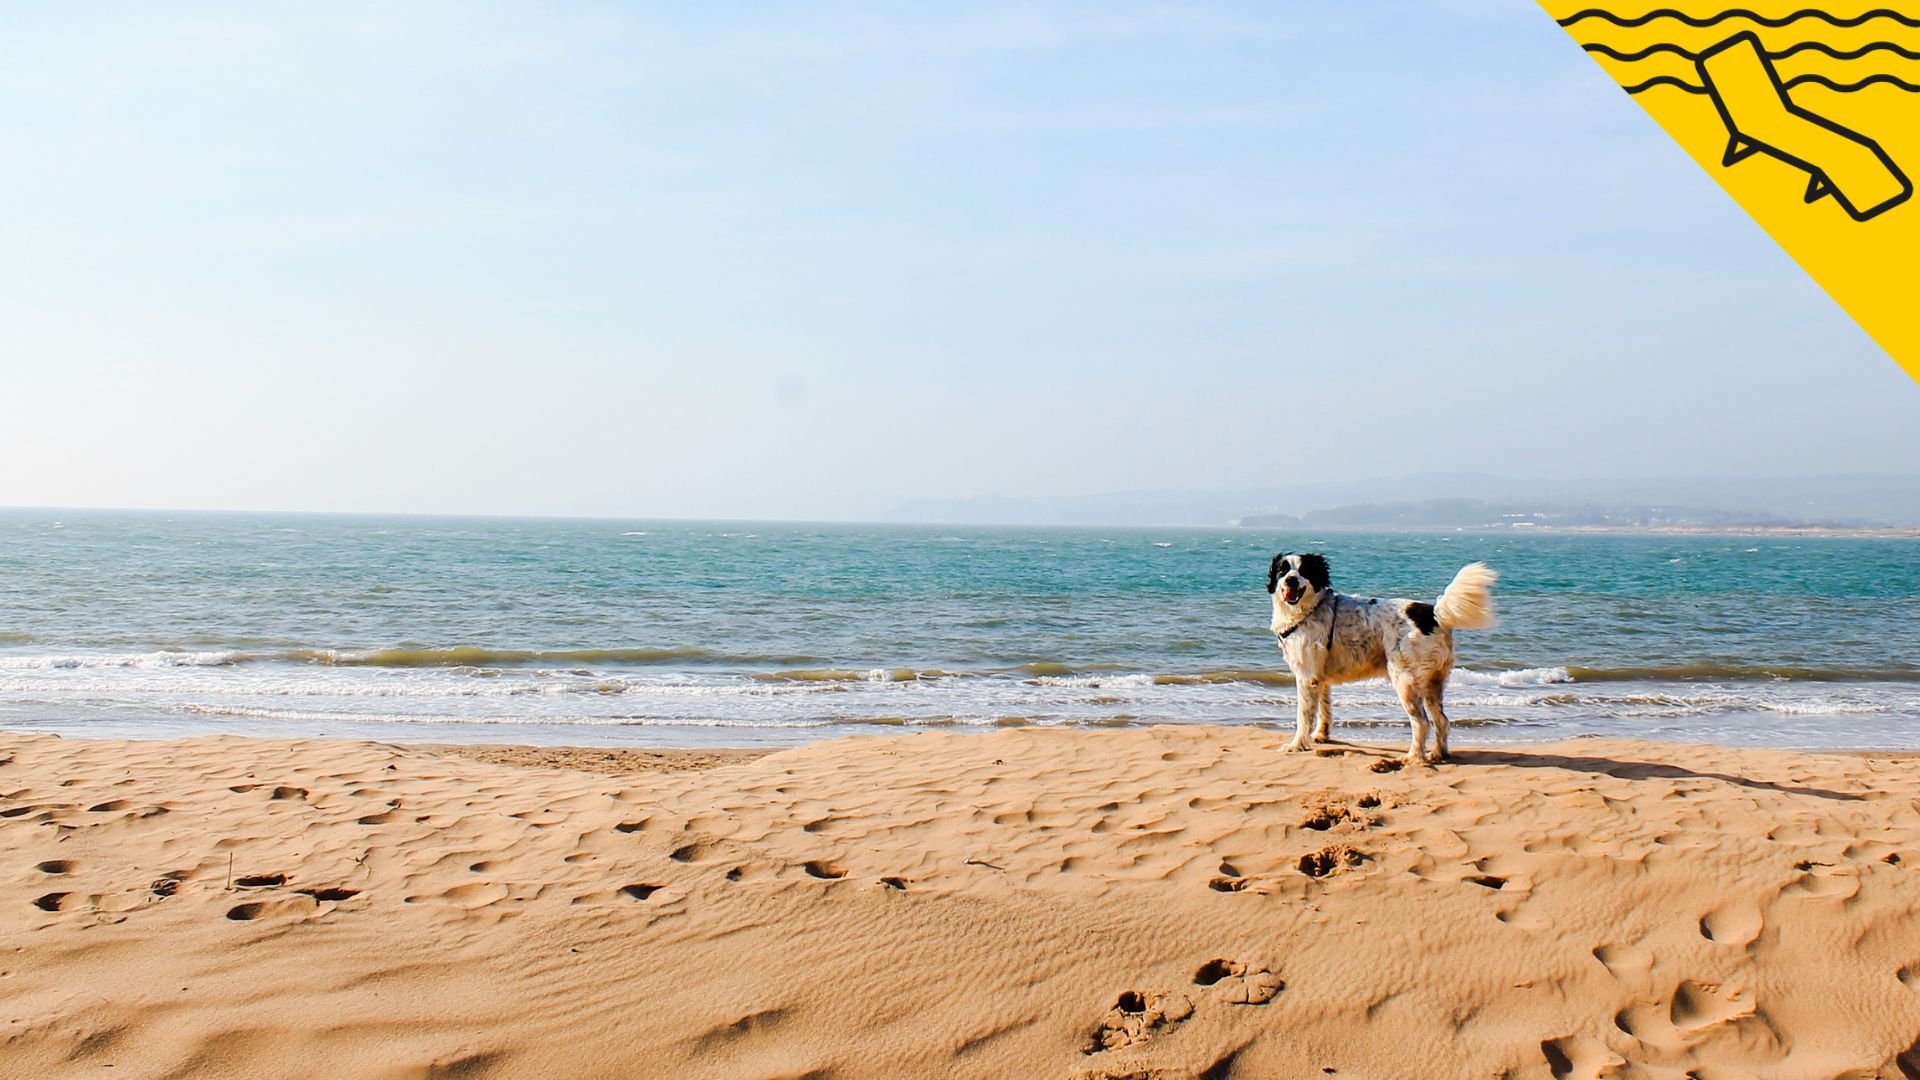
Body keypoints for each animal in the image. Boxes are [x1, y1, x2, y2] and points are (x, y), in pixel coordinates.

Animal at [1274, 549, 1497, 760]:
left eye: (1304, 570)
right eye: (1282, 570)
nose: (1291, 579)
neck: (1310, 609)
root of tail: (1432, 613)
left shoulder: (1306, 677)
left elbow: (1303, 716)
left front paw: (1296, 745)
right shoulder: (1320, 677)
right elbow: (1324, 708)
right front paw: (1320, 736)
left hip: (1406, 682)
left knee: (1422, 723)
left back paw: (1413, 757)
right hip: (1433, 685)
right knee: (1442, 722)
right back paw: (1437, 754)